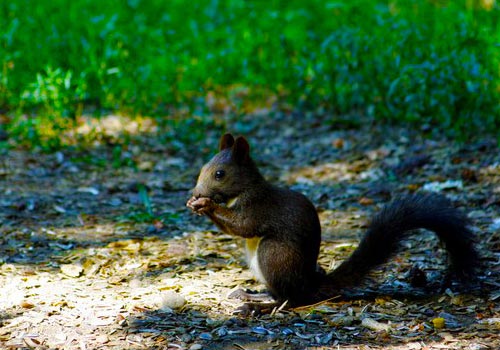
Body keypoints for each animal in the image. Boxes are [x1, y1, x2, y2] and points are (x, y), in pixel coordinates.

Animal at [186, 133, 478, 314]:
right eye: (201, 168)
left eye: (220, 174)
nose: (197, 192)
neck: (244, 190)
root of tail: (308, 283)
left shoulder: (258, 208)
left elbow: (242, 226)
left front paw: (207, 205)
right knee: (282, 294)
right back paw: (253, 295)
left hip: (274, 254)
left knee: (290, 299)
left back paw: (259, 307)